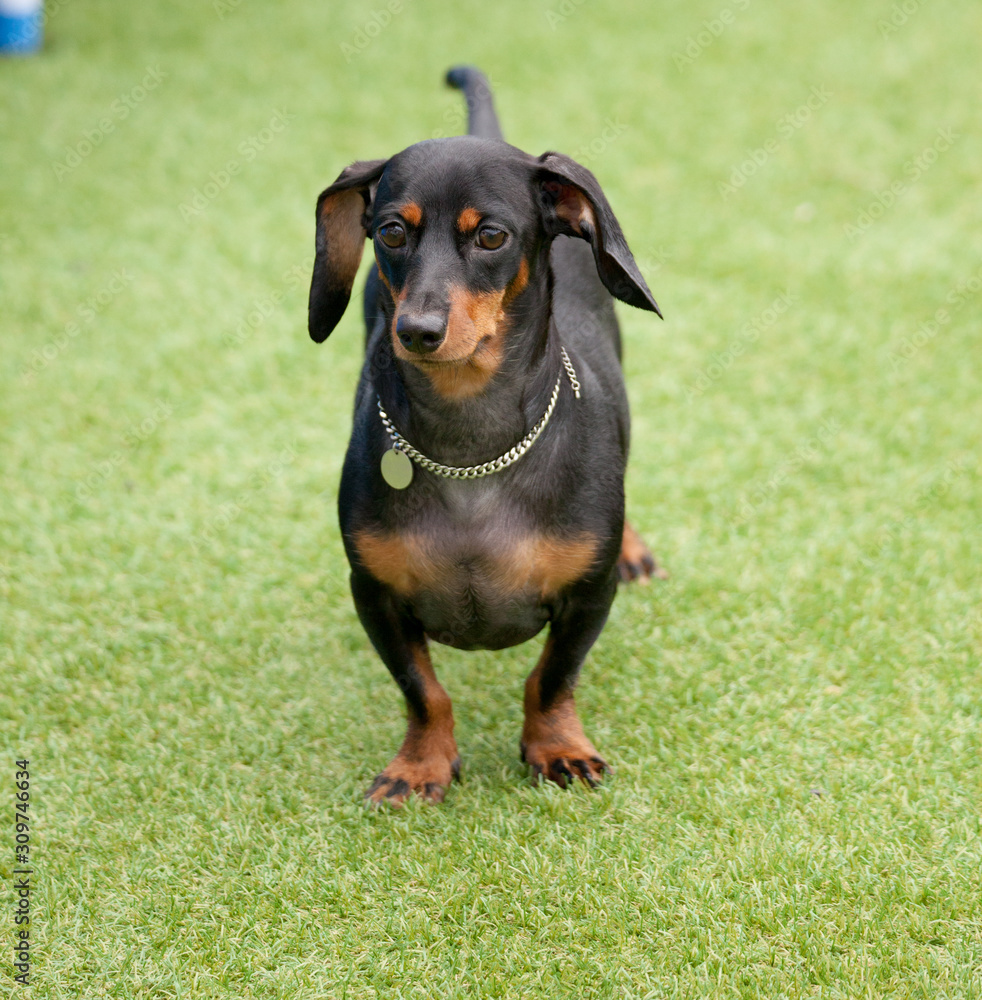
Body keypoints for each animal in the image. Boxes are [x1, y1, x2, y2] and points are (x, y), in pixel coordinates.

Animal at [306, 68, 660, 804]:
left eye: (491, 237)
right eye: (391, 231)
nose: (416, 331)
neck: (471, 451)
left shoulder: (589, 597)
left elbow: (551, 678)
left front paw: (558, 749)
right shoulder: (374, 595)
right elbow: (424, 692)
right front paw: (420, 766)